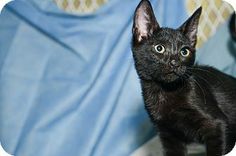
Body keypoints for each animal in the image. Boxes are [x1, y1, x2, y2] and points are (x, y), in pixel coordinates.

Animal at [131, 0, 236, 155]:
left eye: (184, 52)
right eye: (159, 48)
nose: (175, 63)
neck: (164, 92)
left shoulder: (217, 125)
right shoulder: (169, 136)